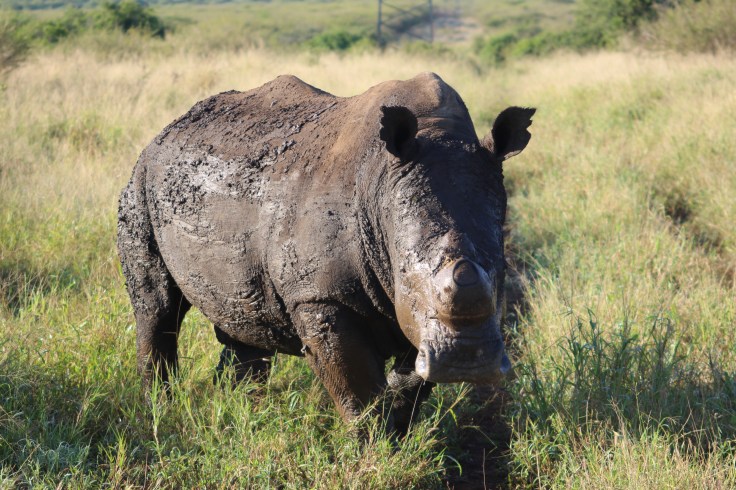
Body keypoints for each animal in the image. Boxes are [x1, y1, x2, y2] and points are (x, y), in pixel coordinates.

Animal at [118, 72, 534, 434]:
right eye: (406, 277)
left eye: (501, 271)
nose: (467, 363)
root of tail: (165, 130)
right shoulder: (319, 297)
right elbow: (358, 392)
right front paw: (374, 451)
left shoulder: (413, 324)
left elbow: (410, 385)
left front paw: (398, 434)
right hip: (139, 183)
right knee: (157, 308)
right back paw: (161, 412)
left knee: (243, 322)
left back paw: (240, 416)